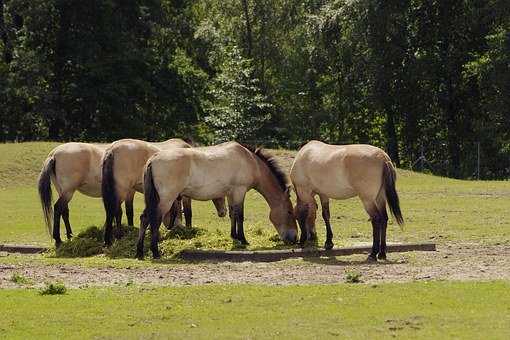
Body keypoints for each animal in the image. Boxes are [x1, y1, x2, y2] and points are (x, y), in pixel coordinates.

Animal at [135, 142, 298, 258]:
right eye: (290, 212)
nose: (294, 238)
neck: (250, 161)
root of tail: (153, 159)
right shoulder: (240, 192)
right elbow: (240, 216)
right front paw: (243, 239)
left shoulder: (231, 194)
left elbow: (233, 215)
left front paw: (234, 236)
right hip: (165, 200)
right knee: (154, 220)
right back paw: (155, 252)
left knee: (144, 218)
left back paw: (139, 252)